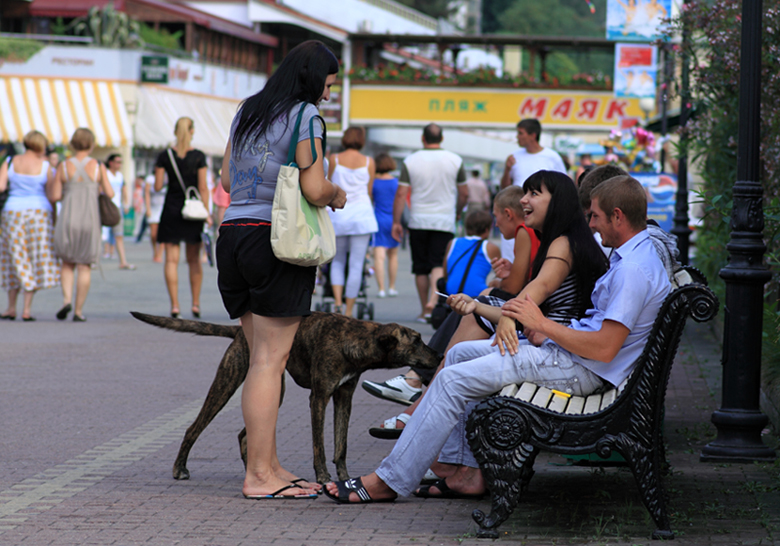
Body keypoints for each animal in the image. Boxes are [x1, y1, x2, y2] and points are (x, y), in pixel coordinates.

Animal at [131, 308, 442, 482]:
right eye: (417, 340)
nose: (440, 355)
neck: (353, 339)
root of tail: (241, 330)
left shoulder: (344, 398)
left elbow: (340, 446)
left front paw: (344, 478)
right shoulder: (319, 398)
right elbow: (320, 446)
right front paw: (323, 477)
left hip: (274, 390)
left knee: (244, 434)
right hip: (227, 382)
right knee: (193, 428)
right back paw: (180, 468)